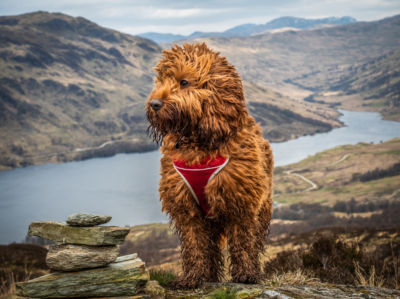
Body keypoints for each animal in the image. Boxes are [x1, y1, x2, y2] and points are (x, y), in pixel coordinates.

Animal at [147, 43, 276, 290]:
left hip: (262, 207)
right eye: (160, 80)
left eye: (184, 82)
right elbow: (195, 244)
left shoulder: (239, 202)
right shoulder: (187, 208)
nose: (154, 104)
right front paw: (193, 278)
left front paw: (246, 274)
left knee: (253, 241)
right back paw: (209, 275)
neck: (198, 142)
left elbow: (243, 242)